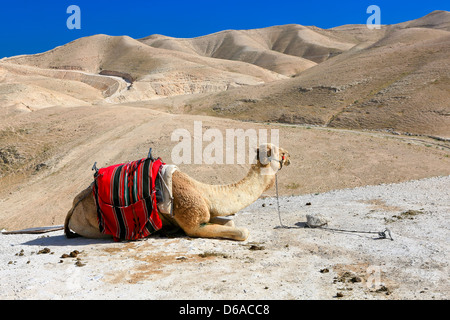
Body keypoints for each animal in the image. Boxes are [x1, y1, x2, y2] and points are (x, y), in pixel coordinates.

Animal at [65, 144, 290, 241]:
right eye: (280, 152)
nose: (289, 157)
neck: (204, 191)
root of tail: (73, 207)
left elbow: (230, 223)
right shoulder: (193, 223)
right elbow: (241, 232)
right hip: (92, 227)